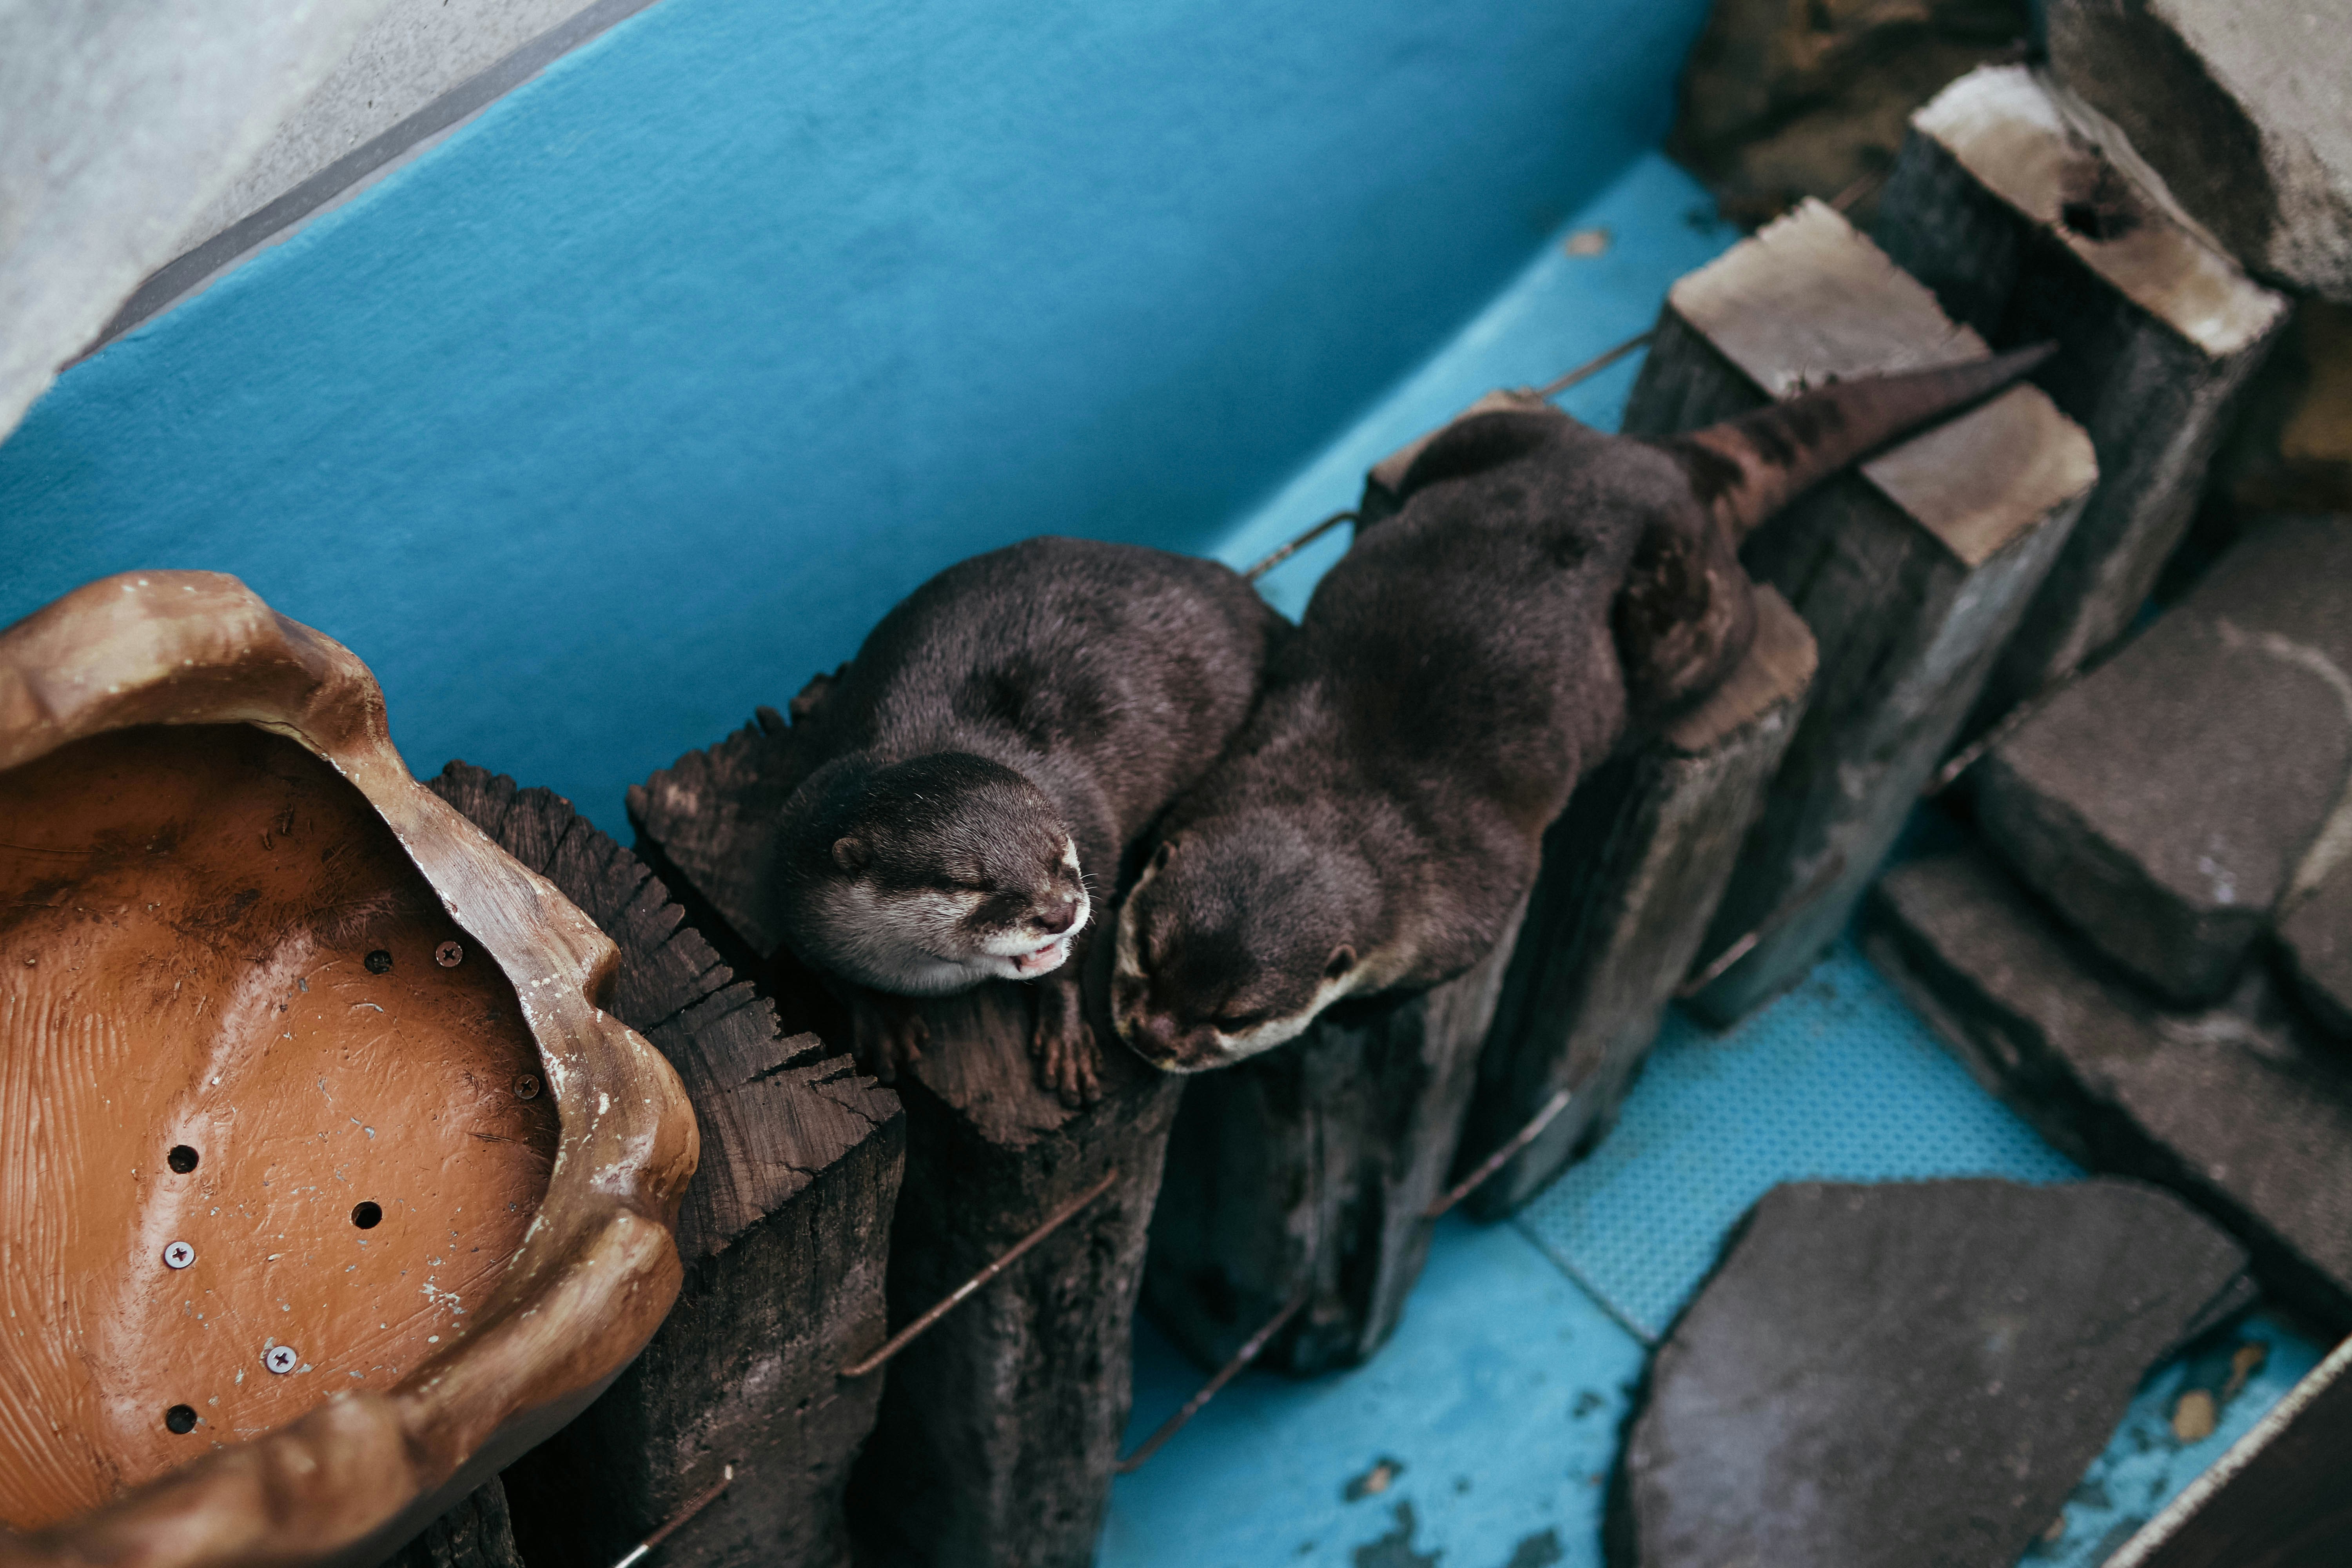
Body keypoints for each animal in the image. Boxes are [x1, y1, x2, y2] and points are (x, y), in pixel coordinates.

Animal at [774, 536, 1284, 1103]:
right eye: (967, 882)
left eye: (1060, 852)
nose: (1059, 912)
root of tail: (1223, 579)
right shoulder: (797, 880)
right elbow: (832, 976)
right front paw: (883, 1022)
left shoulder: (1093, 832)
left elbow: (1074, 958)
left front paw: (1067, 1041)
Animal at [1111, 346, 2054, 1071]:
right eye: (1147, 955)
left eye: (1234, 1016)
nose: (1154, 1038)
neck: (1352, 804)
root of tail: (1655, 466)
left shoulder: (1472, 904)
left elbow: (1422, 981)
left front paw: (1349, 1019)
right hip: (1490, 436)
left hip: (1693, 621)